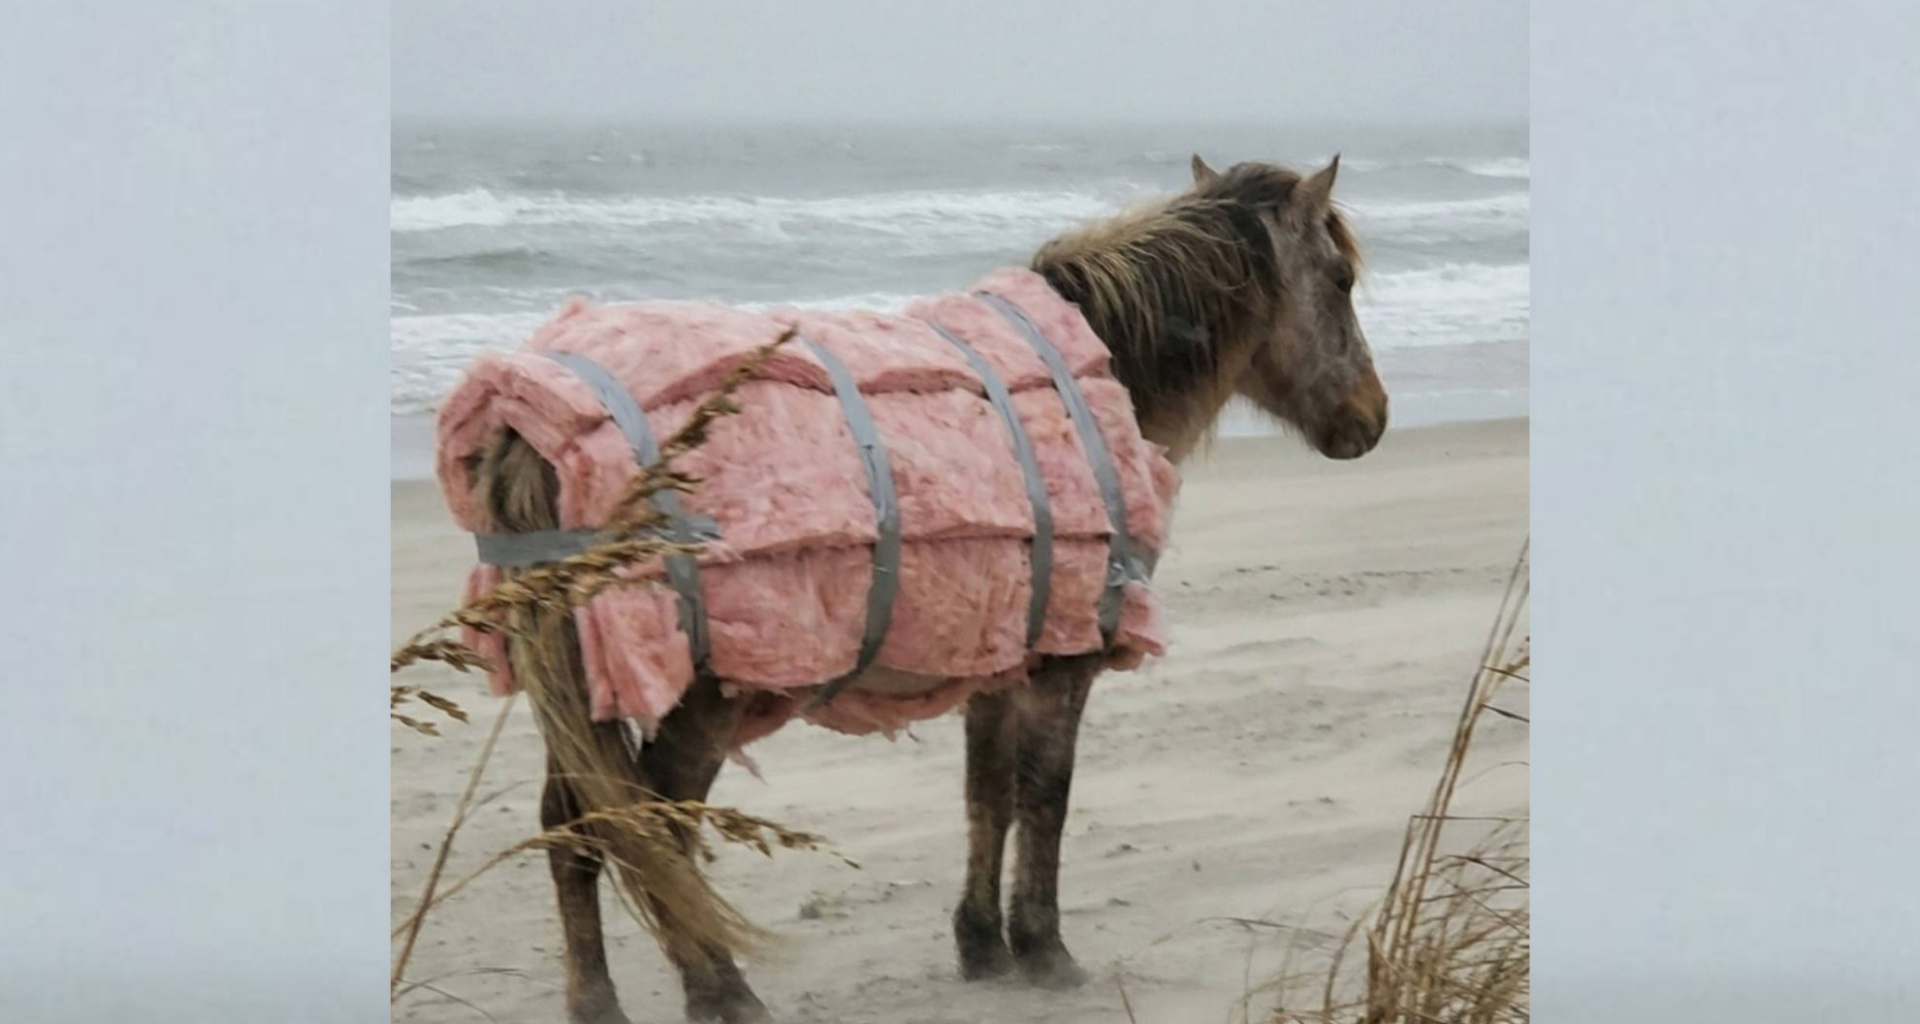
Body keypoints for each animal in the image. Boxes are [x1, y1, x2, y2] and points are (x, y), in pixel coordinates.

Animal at [471, 152, 1387, 1024]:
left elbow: (989, 797)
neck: (1104, 370)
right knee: (650, 830)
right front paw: (1045, 948)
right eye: (1340, 280)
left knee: (575, 825)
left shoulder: (1004, 657)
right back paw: (720, 992)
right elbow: (1045, 795)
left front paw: (983, 944)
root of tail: (532, 430)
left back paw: (598, 1002)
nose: (1371, 419)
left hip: (580, 688)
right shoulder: (1065, 661)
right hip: (697, 699)